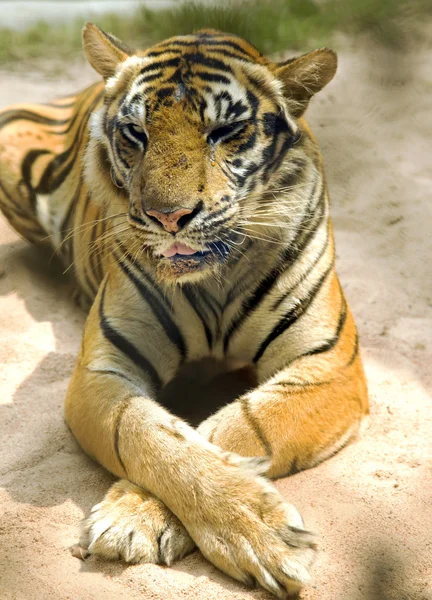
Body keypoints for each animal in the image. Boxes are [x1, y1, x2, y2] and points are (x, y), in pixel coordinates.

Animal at [0, 22, 370, 596]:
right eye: (136, 133)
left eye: (225, 132)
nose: (168, 216)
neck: (214, 279)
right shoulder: (103, 369)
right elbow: (149, 433)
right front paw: (136, 519)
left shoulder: (329, 365)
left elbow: (239, 427)